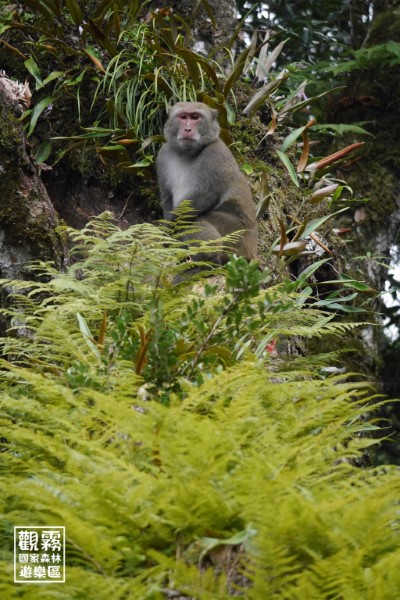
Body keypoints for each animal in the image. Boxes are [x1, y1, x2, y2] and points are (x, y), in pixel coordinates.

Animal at [155, 102, 258, 270]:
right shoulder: (163, 155)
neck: (187, 153)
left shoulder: (214, 155)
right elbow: (167, 198)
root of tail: (252, 253)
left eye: (195, 117)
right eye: (183, 116)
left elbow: (203, 196)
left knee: (194, 220)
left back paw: (207, 260)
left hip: (236, 239)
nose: (187, 129)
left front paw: (167, 233)